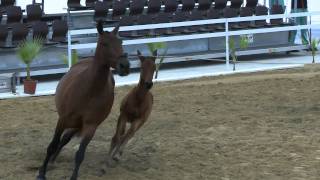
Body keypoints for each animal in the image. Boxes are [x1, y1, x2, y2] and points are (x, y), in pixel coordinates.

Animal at [36, 21, 129, 180]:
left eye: (120, 42)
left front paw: (73, 176)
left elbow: (79, 154)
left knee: (65, 139)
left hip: (78, 125)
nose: (125, 65)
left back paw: (54, 159)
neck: (89, 91)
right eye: (104, 43)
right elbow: (52, 145)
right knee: (61, 141)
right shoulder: (62, 120)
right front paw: (42, 173)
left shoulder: (90, 127)